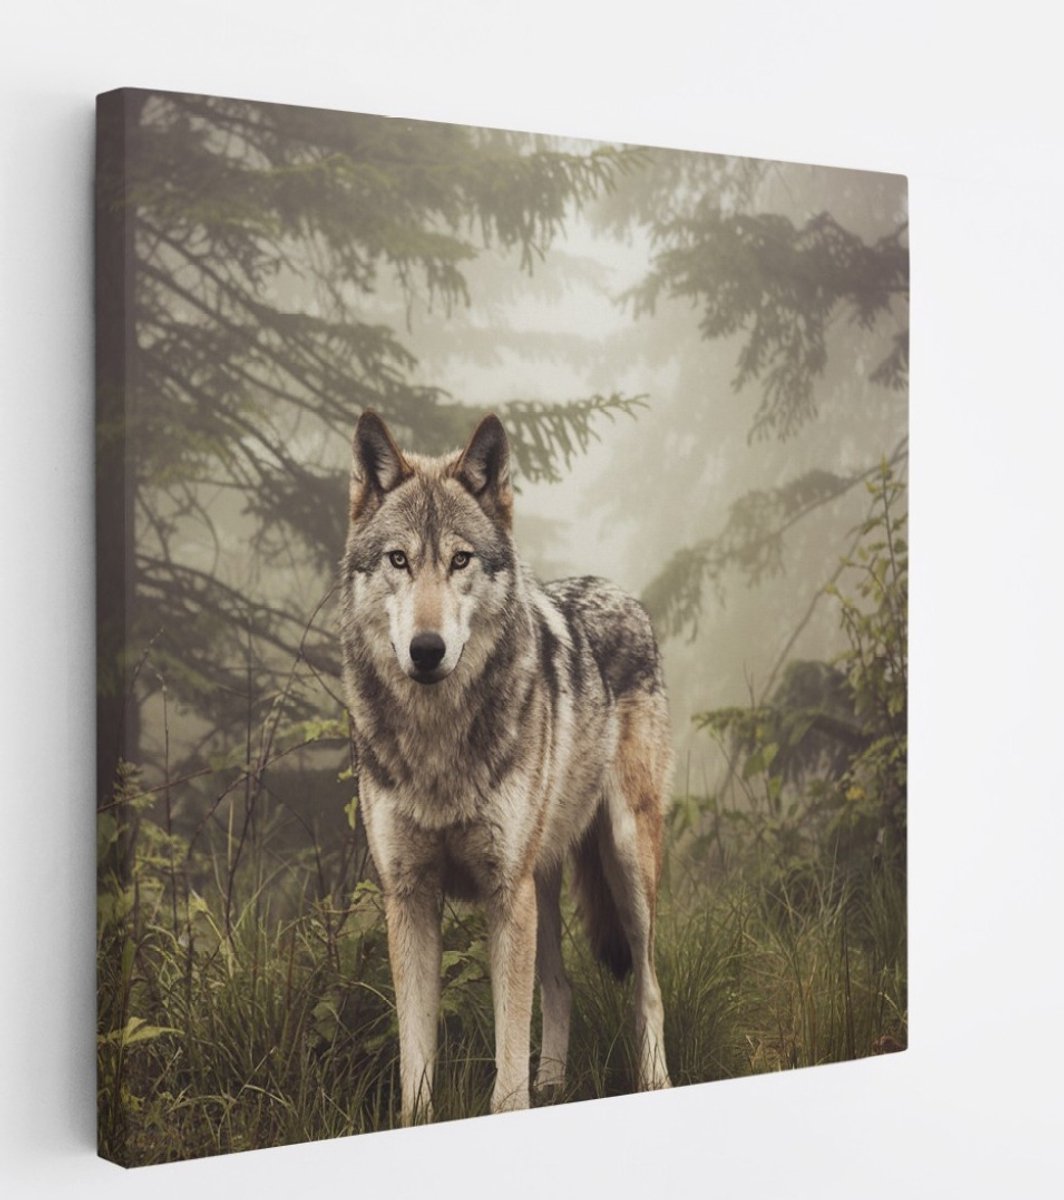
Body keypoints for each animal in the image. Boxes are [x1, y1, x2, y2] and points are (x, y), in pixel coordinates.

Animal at [339, 411, 672, 1123]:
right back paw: (554, 1085)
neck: (438, 744)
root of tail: (617, 589)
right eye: (399, 560)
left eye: (460, 559)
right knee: (562, 985)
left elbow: (507, 1063)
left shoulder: (503, 892)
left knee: (648, 986)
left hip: (624, 861)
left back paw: (654, 1081)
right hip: (539, 882)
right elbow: (416, 1059)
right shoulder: (410, 897)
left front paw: (514, 1100)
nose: (427, 649)